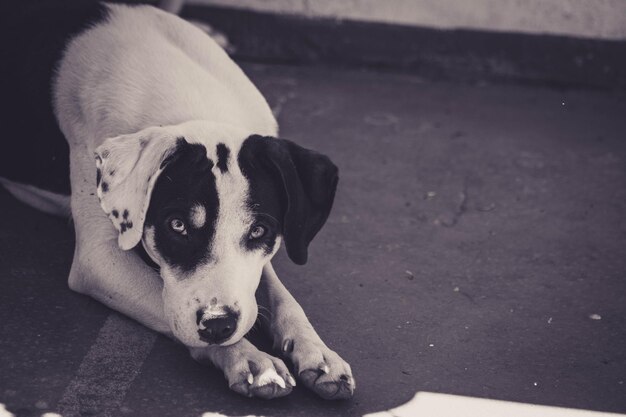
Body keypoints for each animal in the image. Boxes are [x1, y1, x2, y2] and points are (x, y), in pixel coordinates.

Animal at [0, 2, 352, 400]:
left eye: (260, 230)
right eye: (177, 225)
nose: (218, 325)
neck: (195, 107)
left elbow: (282, 298)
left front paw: (318, 353)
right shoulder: (100, 260)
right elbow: (173, 307)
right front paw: (249, 358)